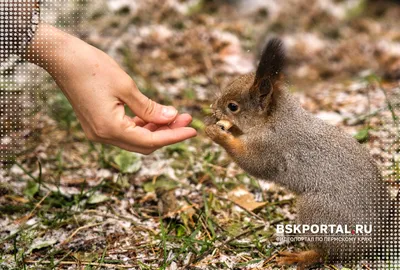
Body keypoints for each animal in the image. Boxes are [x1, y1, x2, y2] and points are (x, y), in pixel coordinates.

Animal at [206, 38, 396, 270]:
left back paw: (300, 257)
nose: (212, 108)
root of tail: (377, 240)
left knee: (326, 253)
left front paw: (218, 134)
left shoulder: (272, 147)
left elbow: (254, 163)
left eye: (232, 106)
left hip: (318, 213)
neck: (275, 119)